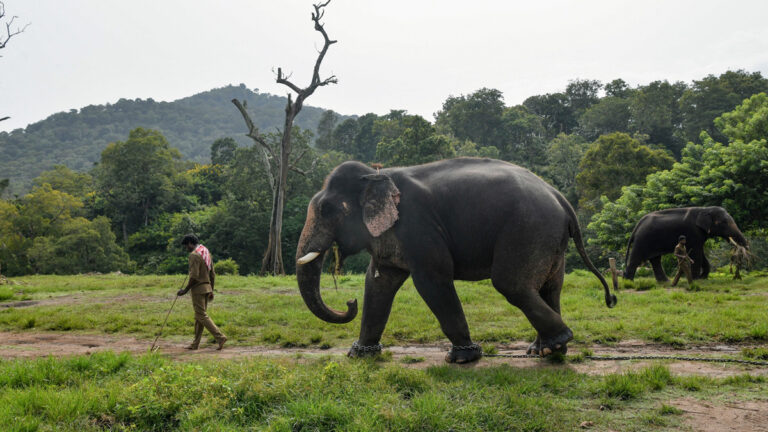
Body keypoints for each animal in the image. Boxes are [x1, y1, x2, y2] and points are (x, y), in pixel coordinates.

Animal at [295, 158, 617, 364]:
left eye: (327, 210)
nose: (349, 303)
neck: (378, 174)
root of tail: (560, 198)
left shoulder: (418, 226)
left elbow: (432, 280)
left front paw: (462, 358)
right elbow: (378, 283)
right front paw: (359, 356)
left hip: (529, 228)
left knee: (512, 285)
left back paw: (557, 343)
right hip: (550, 239)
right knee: (549, 288)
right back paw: (546, 351)